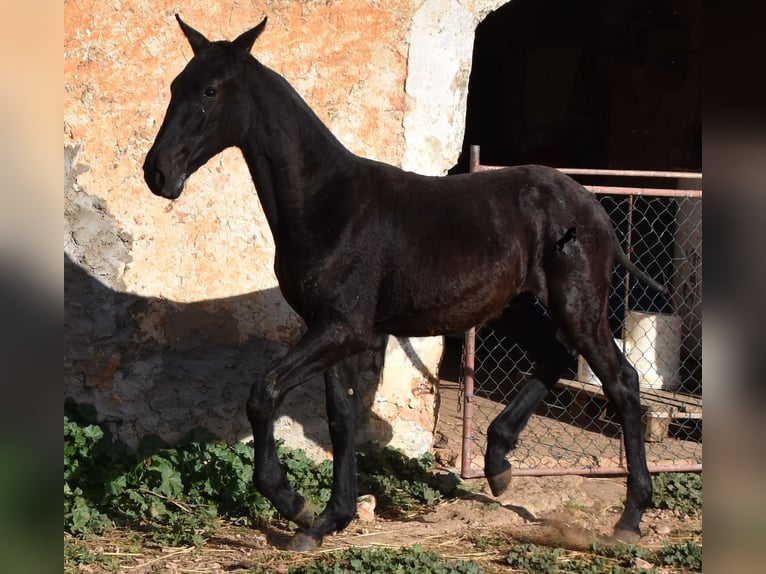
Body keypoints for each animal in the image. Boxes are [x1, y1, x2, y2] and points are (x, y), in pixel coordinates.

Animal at [142, 15, 664, 552]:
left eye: (209, 90)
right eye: (174, 86)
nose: (157, 173)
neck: (328, 203)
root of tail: (592, 204)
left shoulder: (343, 329)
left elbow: (264, 393)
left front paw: (294, 504)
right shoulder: (330, 331)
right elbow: (341, 421)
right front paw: (328, 520)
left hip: (577, 305)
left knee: (622, 382)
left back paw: (629, 517)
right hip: (514, 307)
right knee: (554, 357)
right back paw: (498, 464)